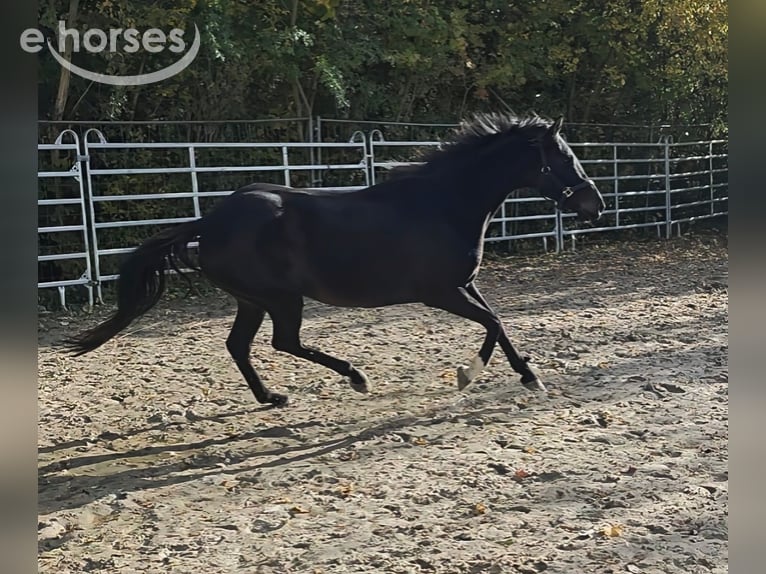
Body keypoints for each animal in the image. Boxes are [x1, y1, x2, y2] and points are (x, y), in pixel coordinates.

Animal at [65, 113, 605, 407]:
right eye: (563, 159)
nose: (594, 204)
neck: (443, 203)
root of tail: (211, 220)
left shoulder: (465, 285)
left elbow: (500, 321)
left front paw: (530, 377)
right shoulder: (441, 293)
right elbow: (492, 324)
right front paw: (468, 374)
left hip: (252, 300)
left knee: (240, 346)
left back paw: (272, 398)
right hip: (280, 299)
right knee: (283, 342)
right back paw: (355, 377)